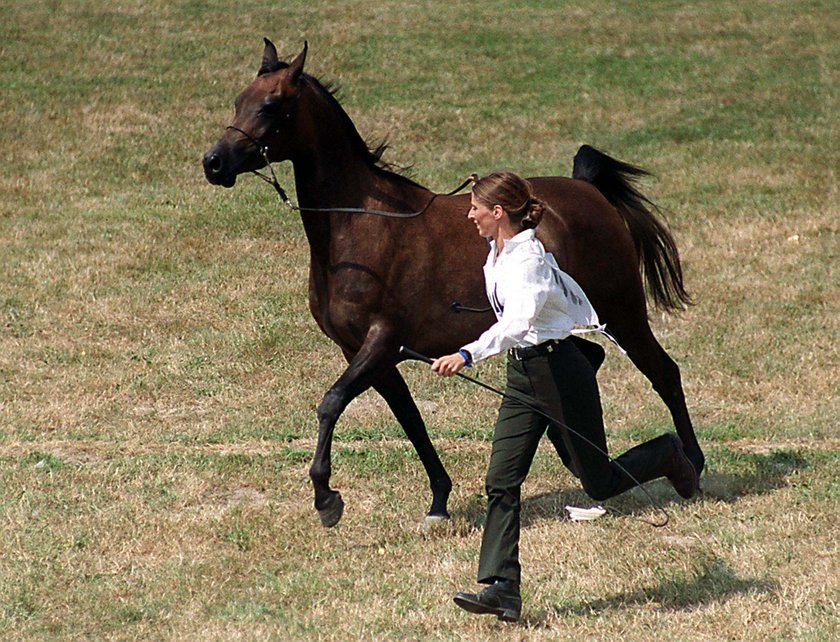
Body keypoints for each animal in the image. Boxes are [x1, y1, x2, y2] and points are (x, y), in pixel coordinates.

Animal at [203, 40, 704, 524]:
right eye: (238, 100)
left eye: (271, 105)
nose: (214, 163)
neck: (361, 226)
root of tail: (589, 190)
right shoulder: (366, 352)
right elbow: (410, 421)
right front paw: (438, 501)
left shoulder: (381, 341)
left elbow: (331, 403)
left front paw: (327, 499)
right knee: (590, 359)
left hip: (623, 312)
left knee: (664, 373)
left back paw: (692, 468)